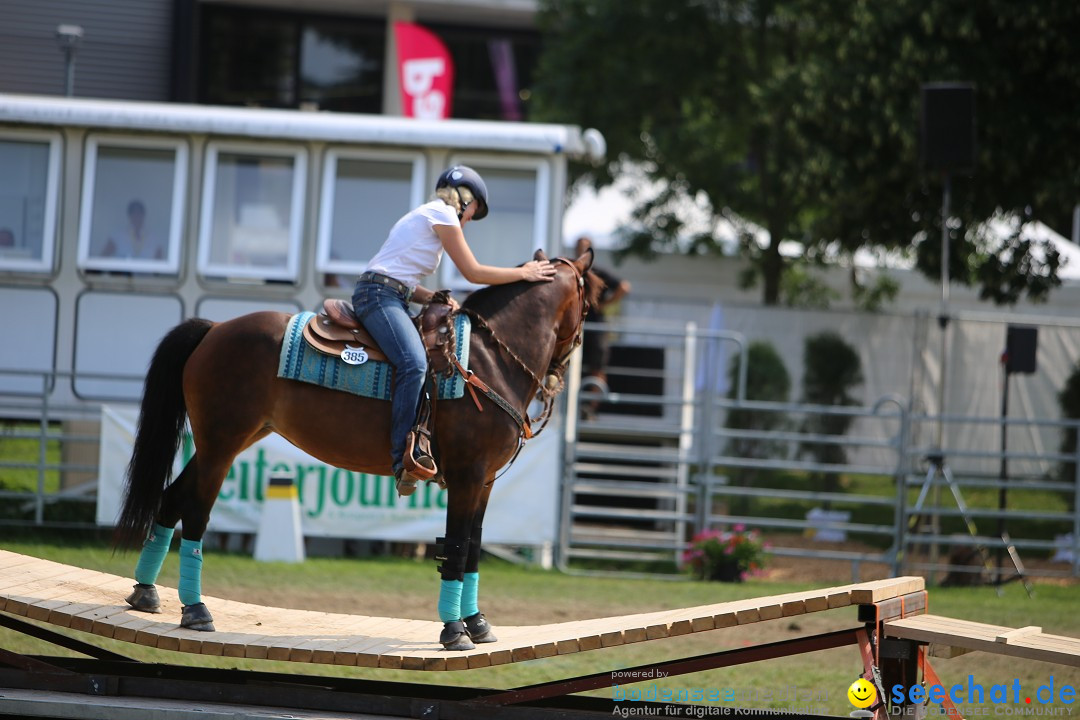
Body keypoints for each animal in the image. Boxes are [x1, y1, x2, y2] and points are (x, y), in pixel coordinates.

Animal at [116, 250, 600, 651]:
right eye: (589, 302)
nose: (562, 375)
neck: (487, 361)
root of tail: (215, 329)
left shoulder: (483, 483)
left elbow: (475, 546)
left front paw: (478, 623)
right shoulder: (466, 477)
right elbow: (457, 547)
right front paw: (454, 630)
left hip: (226, 442)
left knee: (172, 497)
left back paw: (146, 592)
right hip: (222, 445)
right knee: (196, 513)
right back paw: (196, 610)